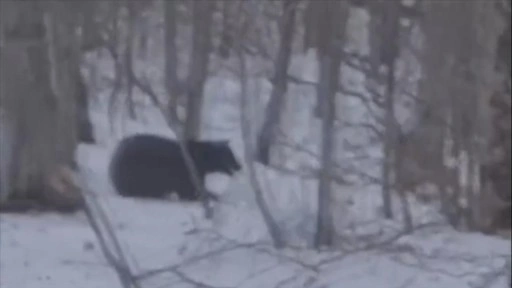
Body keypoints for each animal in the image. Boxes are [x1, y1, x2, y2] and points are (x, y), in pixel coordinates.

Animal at [107, 134, 242, 201]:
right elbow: (192, 192)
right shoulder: (188, 179)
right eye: (229, 155)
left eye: (232, 153)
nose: (239, 165)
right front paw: (214, 196)